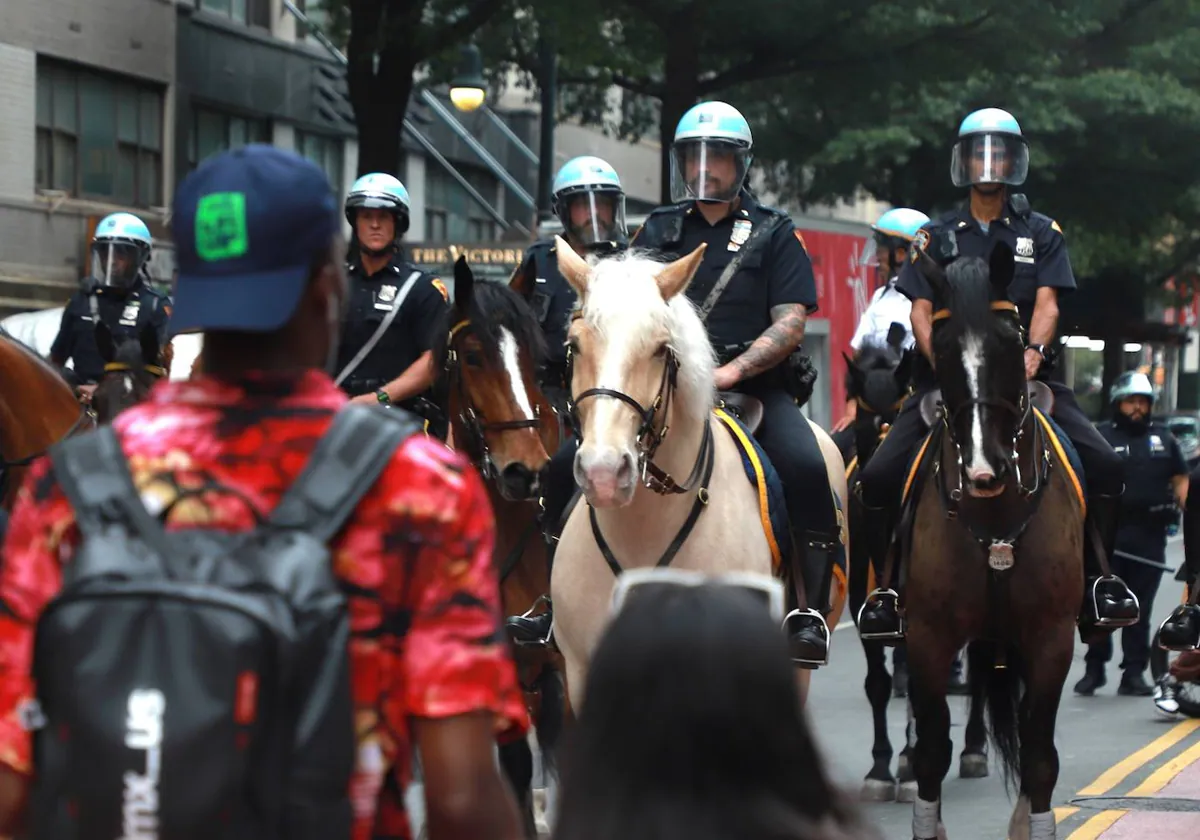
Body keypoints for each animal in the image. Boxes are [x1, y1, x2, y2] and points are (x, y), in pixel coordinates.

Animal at [902, 242, 1084, 840]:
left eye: (1009, 342)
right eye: (943, 348)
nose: (985, 469)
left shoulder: (1051, 639)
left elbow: (1041, 755)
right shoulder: (926, 637)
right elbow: (930, 750)